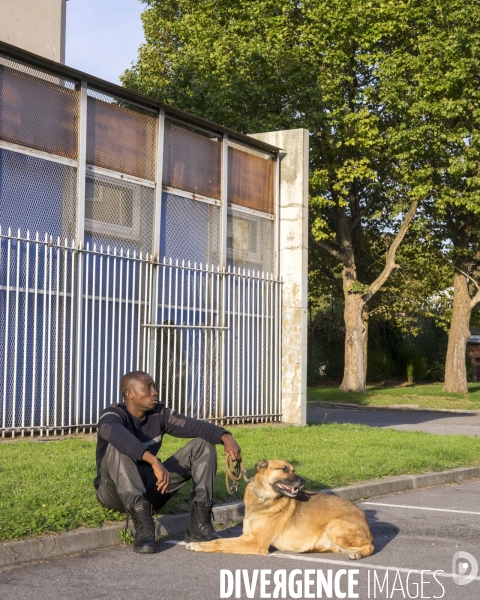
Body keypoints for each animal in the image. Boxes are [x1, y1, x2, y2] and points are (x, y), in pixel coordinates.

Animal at [186, 460, 374, 556]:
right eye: (284, 469)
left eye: (294, 469)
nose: (303, 481)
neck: (264, 500)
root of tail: (363, 518)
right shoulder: (246, 537)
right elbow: (219, 541)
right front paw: (200, 543)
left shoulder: (256, 543)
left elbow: (220, 543)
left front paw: (198, 546)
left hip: (334, 526)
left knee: (370, 547)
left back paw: (358, 553)